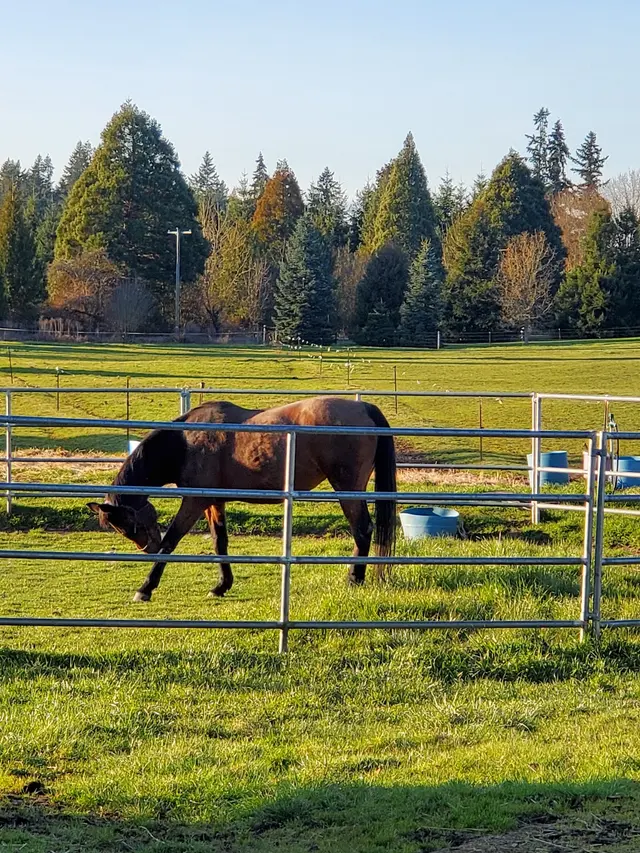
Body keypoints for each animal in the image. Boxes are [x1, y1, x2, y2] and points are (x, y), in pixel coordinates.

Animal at [88, 396, 397, 602]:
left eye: (128, 525)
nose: (147, 548)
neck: (186, 442)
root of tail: (364, 408)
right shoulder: (213, 502)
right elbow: (219, 542)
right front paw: (222, 586)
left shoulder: (193, 501)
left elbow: (172, 541)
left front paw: (146, 588)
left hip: (347, 489)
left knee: (362, 529)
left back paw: (354, 578)